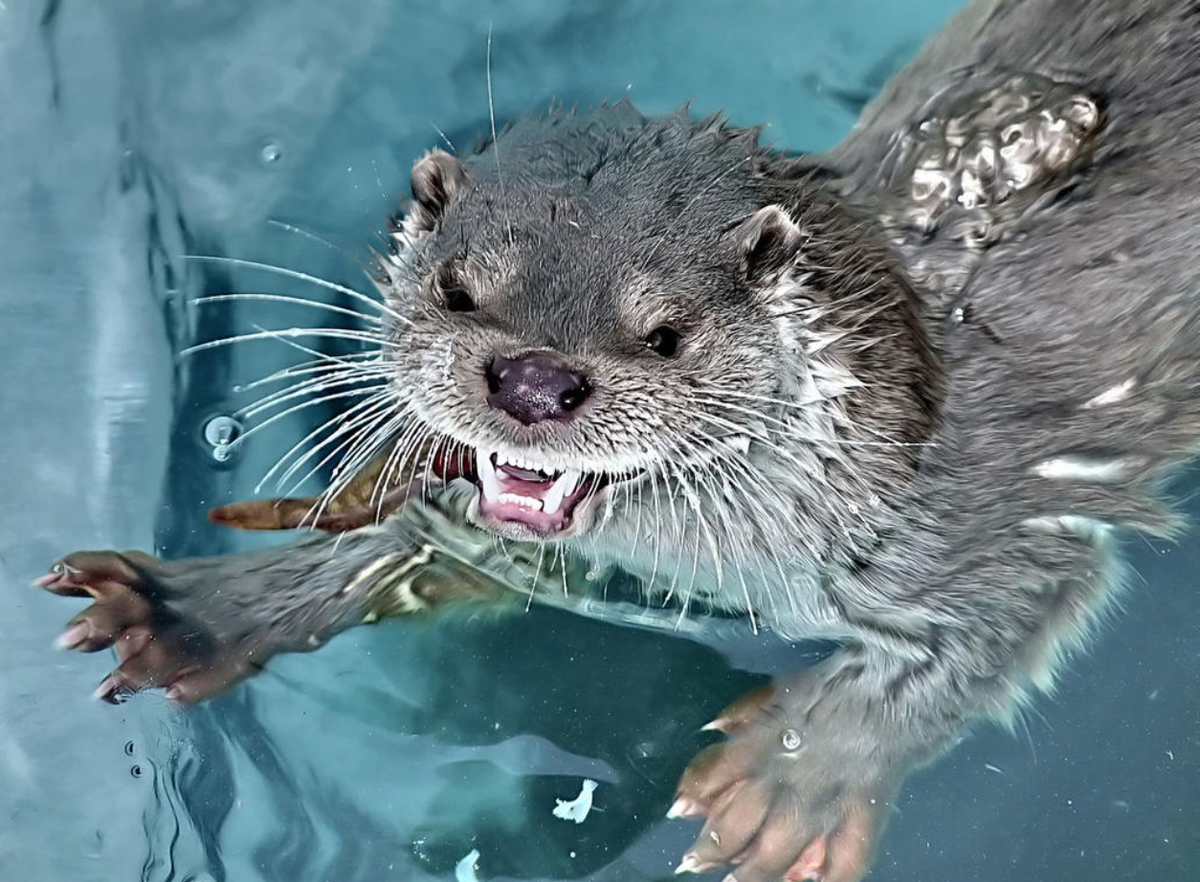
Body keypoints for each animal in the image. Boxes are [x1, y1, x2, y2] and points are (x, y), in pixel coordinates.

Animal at [35, 1, 1200, 882]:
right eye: (460, 290)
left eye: (665, 333)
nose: (534, 379)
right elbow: (408, 552)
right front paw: (201, 607)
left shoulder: (1008, 520)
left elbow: (971, 646)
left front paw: (792, 778)